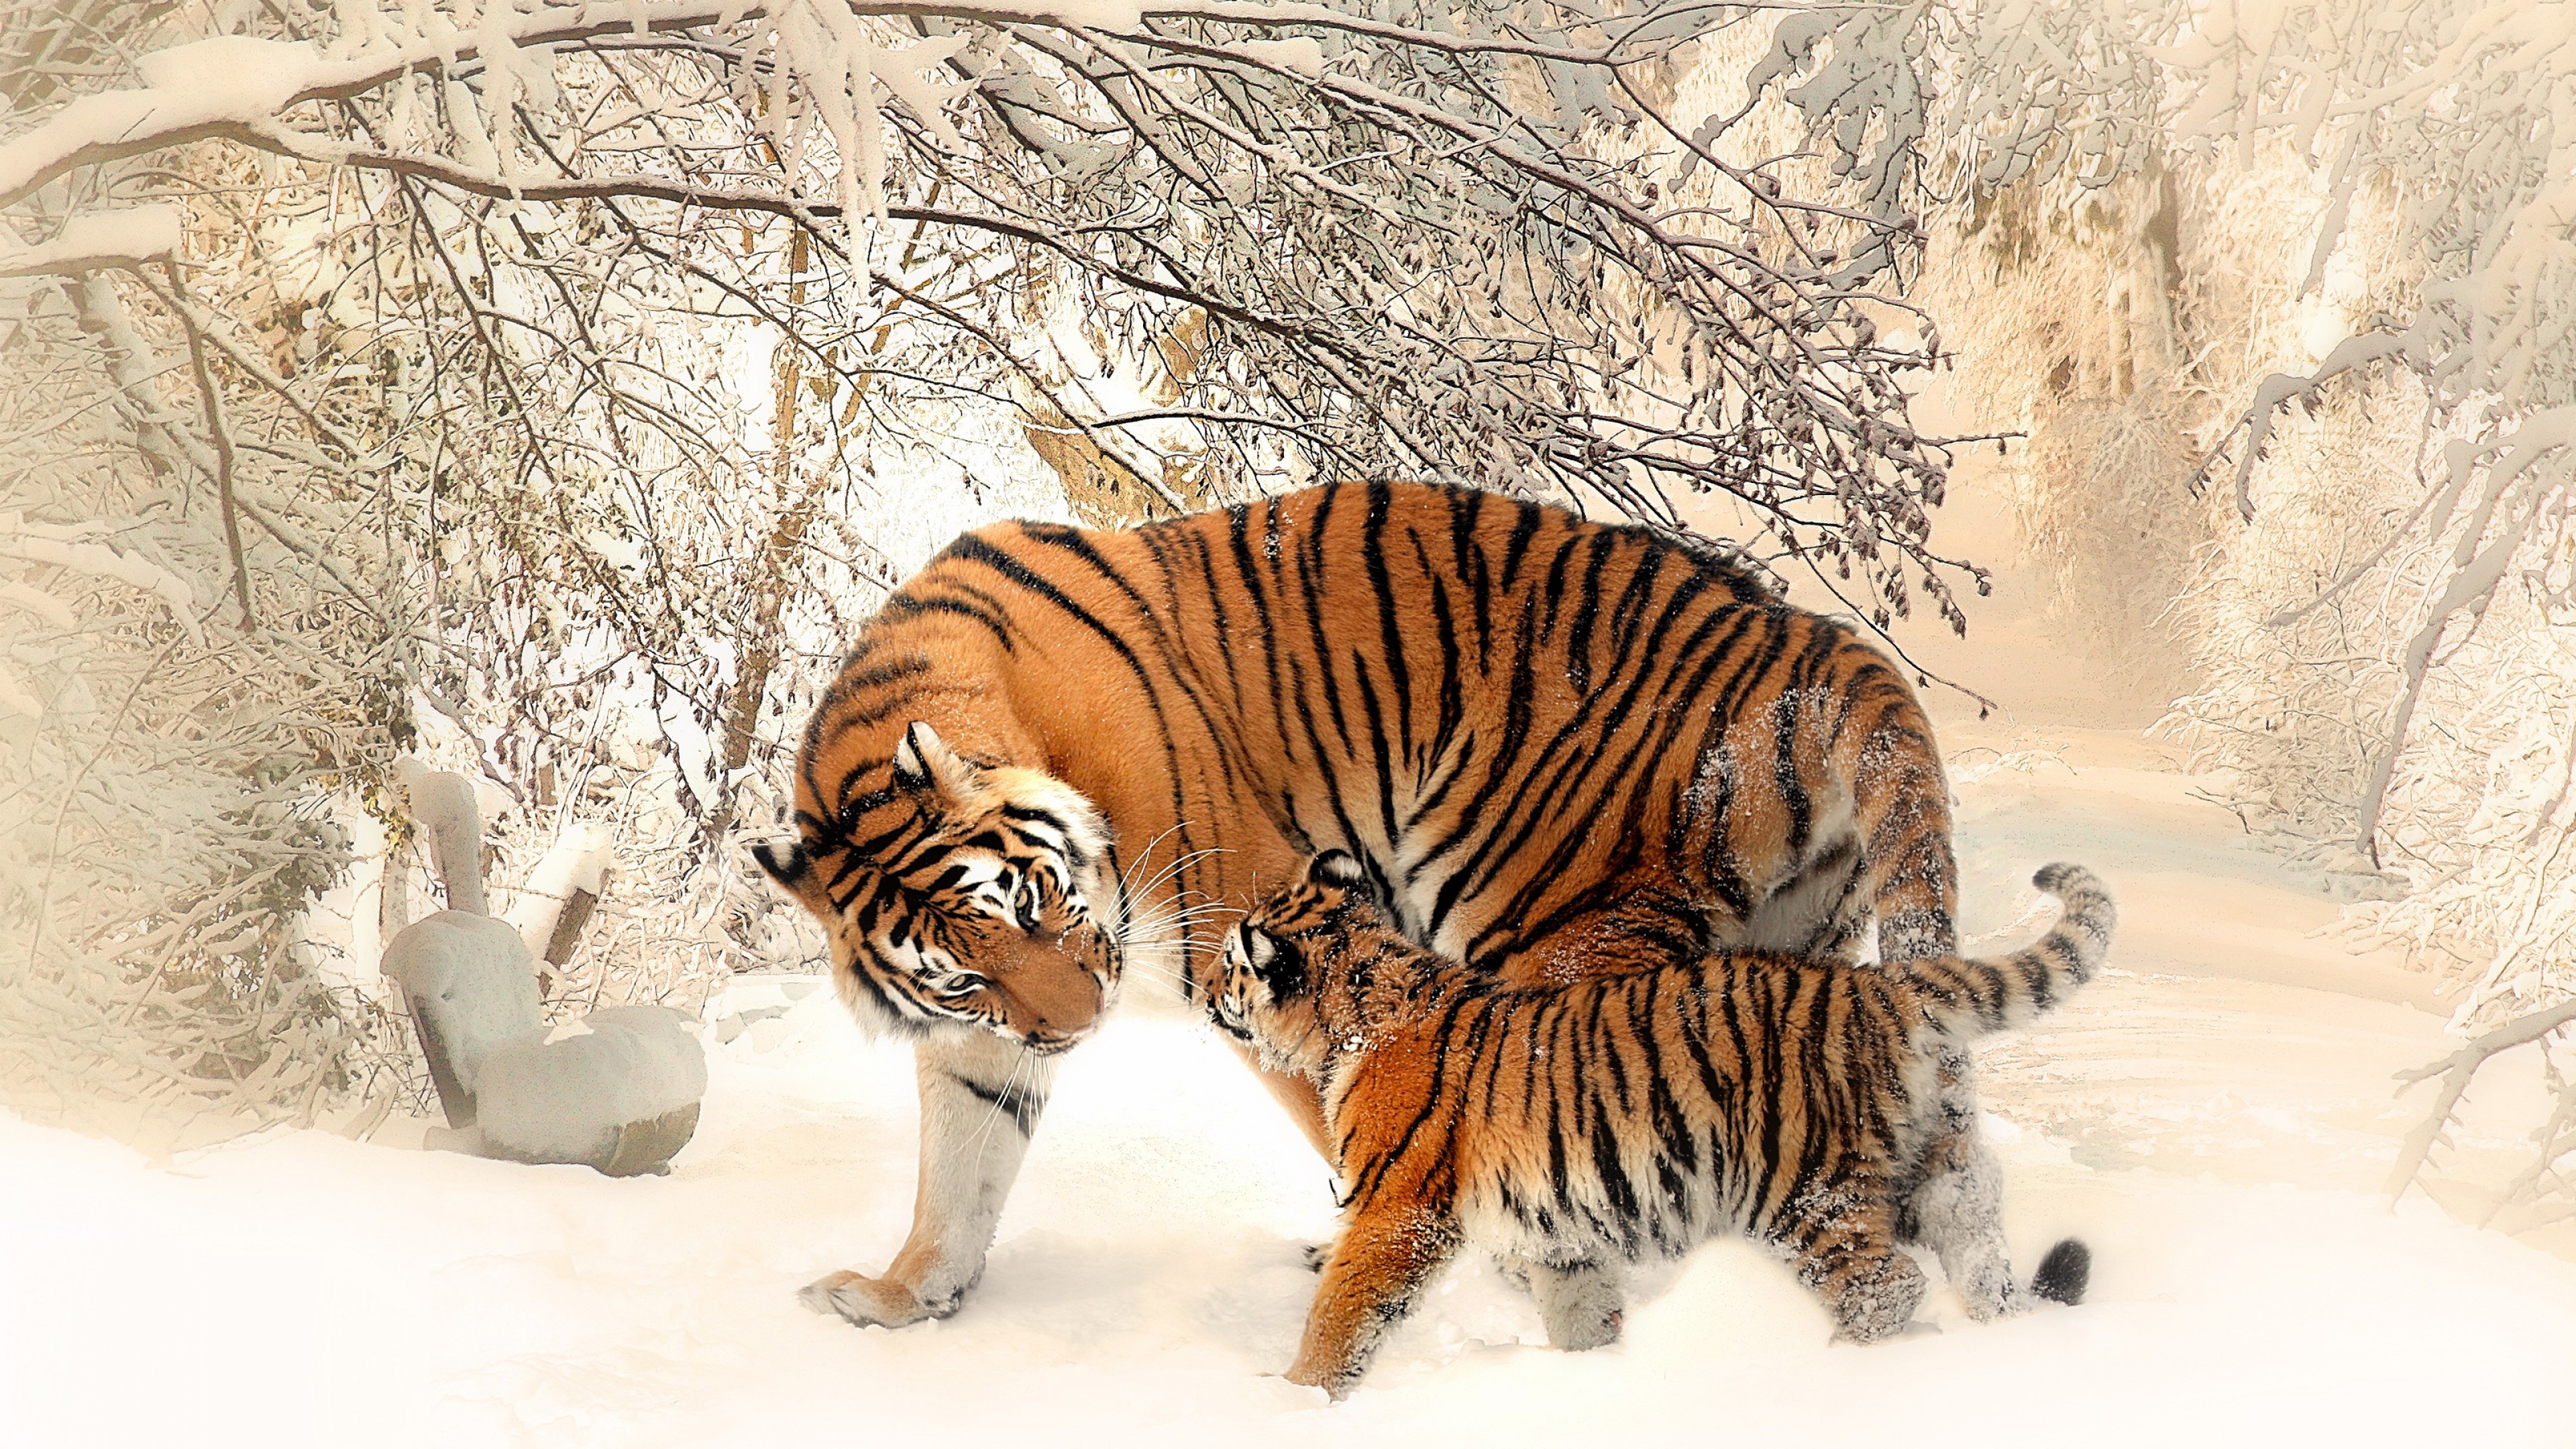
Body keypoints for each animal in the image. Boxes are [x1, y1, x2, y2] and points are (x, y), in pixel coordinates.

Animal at [755, 479, 1974, 1335]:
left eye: (1039, 902)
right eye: (966, 974)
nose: (1079, 1026)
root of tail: (1812, 639)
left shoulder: (1253, 931)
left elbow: (1351, 1113)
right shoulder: (982, 1038)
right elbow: (958, 1169)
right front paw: (903, 1297)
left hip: (1546, 925)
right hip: (1788, 953)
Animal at [1208, 850, 2113, 1399]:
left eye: (1229, 963)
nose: (1208, 993)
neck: (1357, 1007)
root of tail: (1877, 987)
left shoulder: (1396, 1211)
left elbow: (1341, 1313)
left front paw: (1294, 1400)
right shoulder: (1558, 1233)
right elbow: (1580, 1311)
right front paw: (1594, 1376)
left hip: (1803, 1190)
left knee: (1886, 1286)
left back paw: (1837, 1371)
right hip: (1929, 1170)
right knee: (1976, 1248)